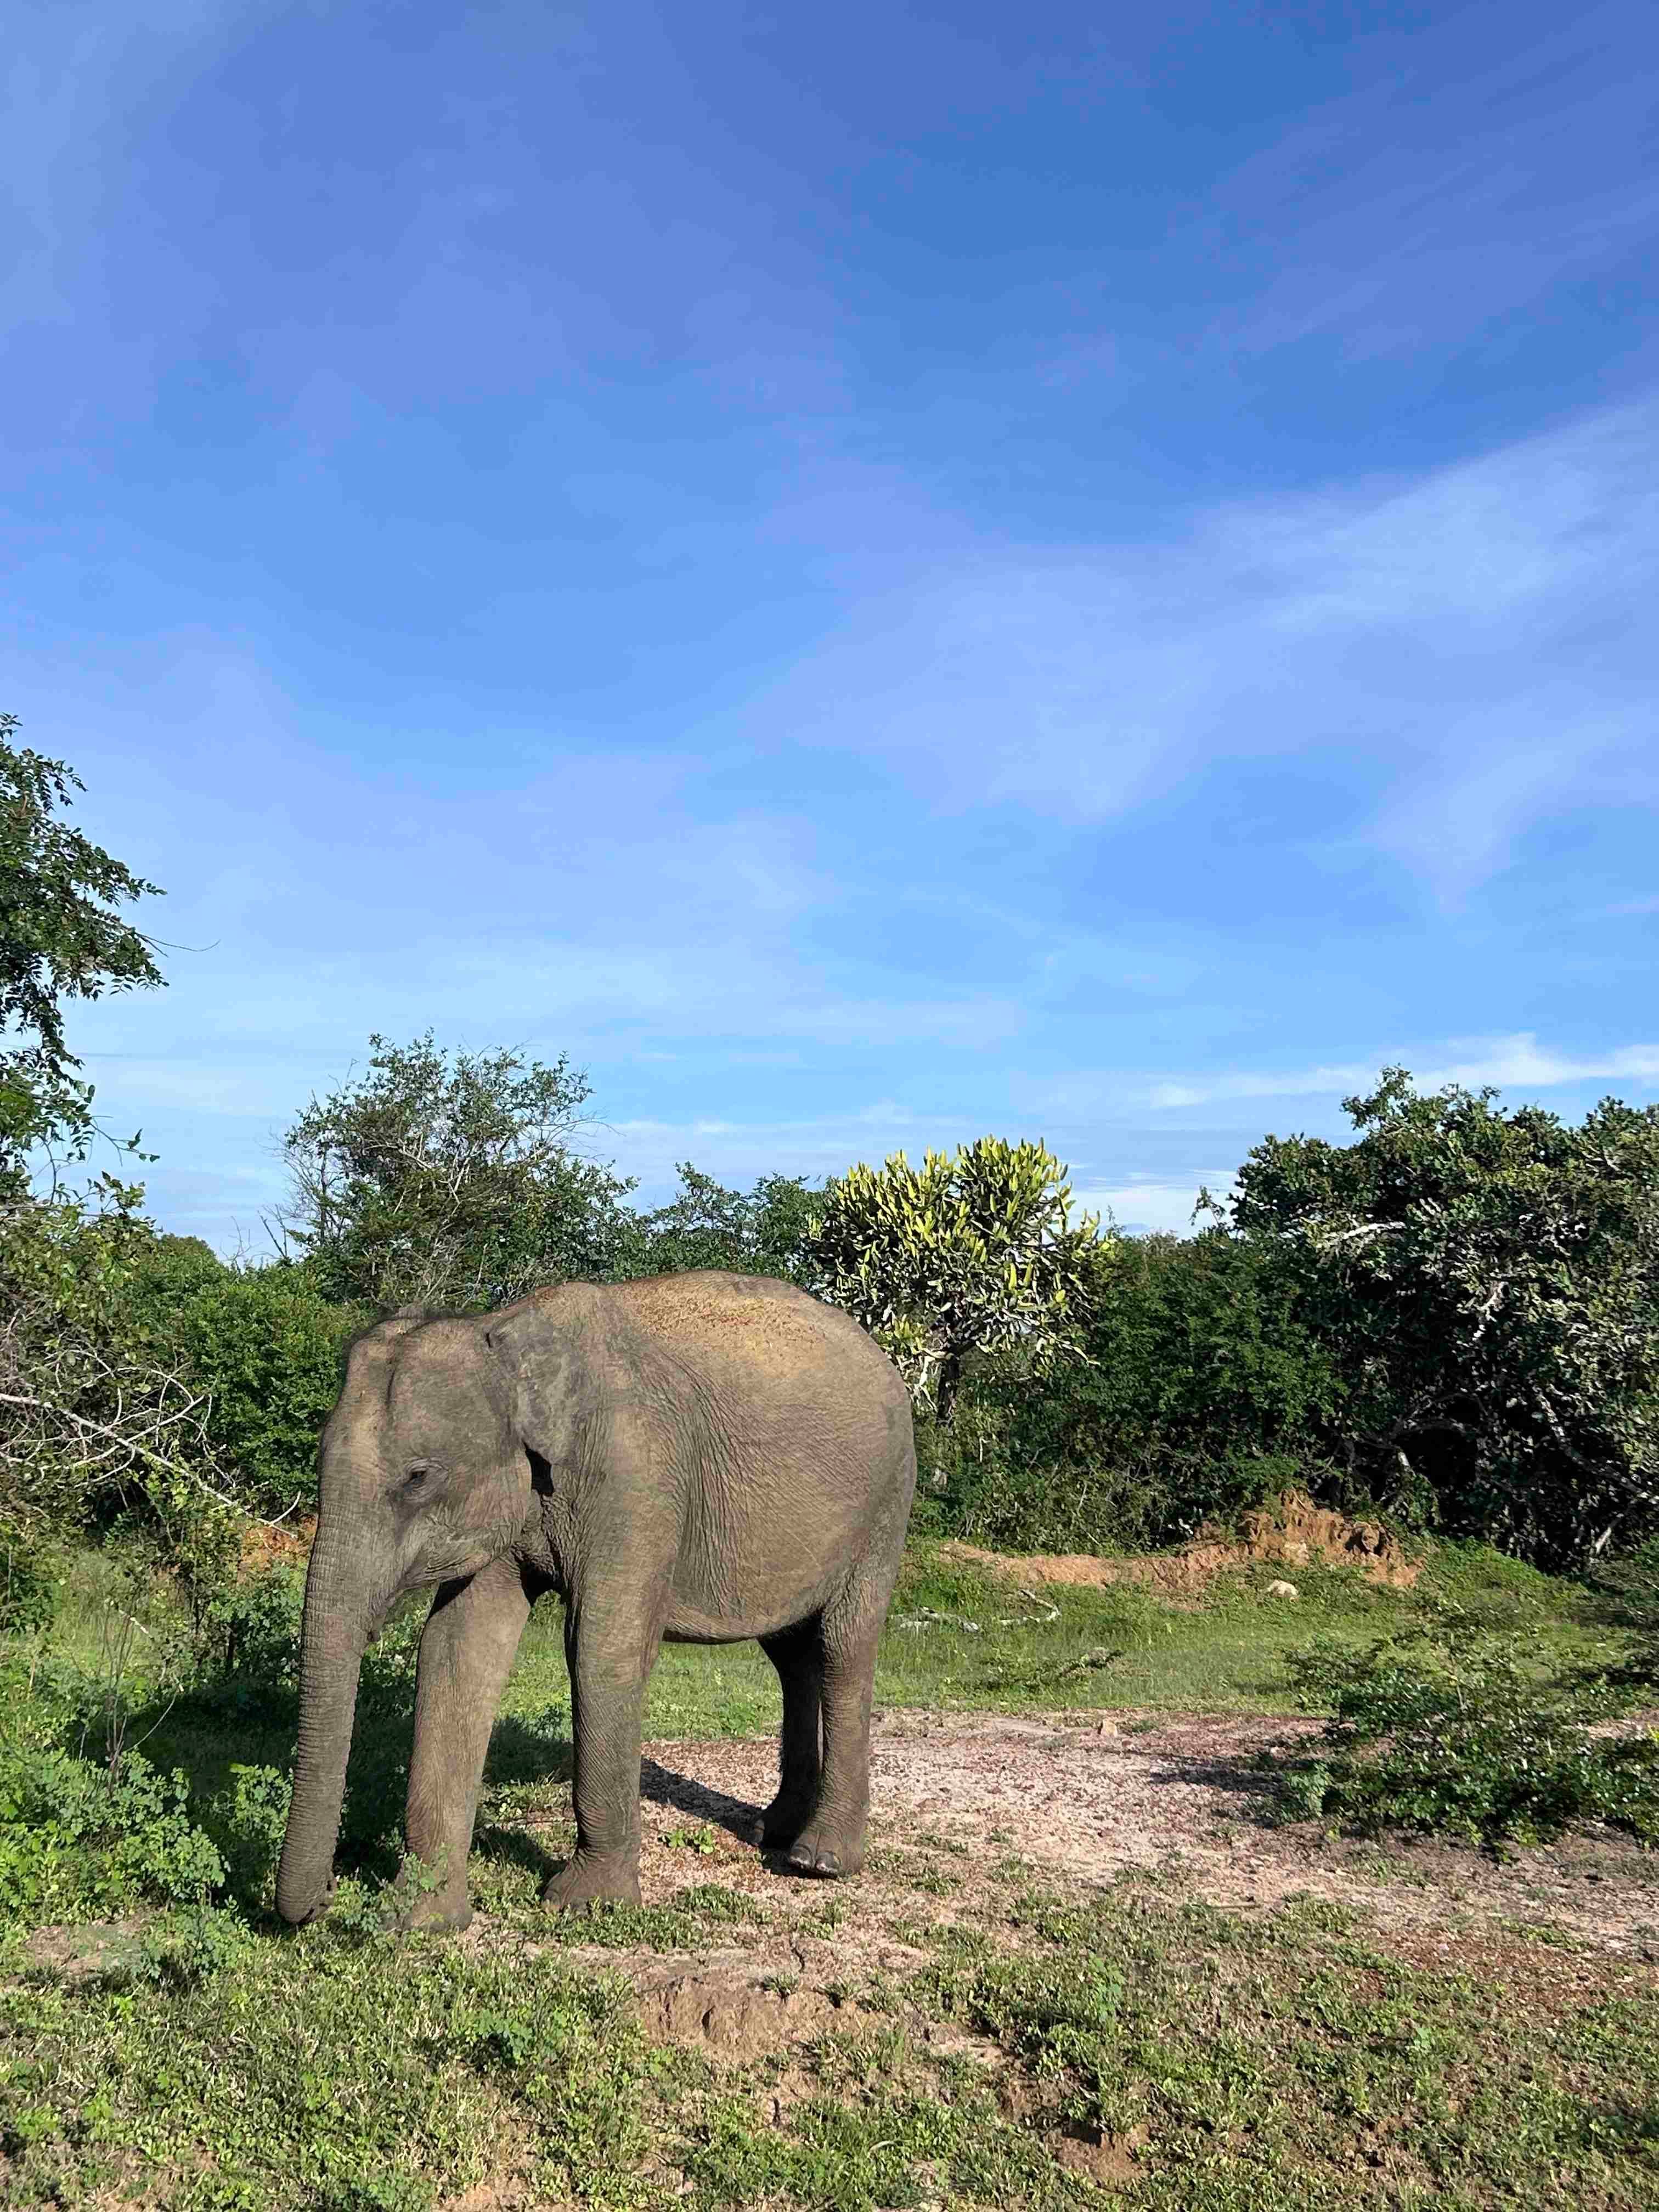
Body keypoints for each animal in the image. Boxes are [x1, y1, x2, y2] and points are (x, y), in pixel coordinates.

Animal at [274, 1270, 916, 1931]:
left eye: (418, 1477)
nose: (325, 1897)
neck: (505, 1338)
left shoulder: (636, 1477)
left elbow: (600, 1649)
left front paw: (585, 1904)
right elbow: (457, 1647)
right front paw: (419, 1920)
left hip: (886, 1503)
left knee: (842, 1648)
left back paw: (819, 1860)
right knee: (793, 1657)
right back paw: (773, 1832)